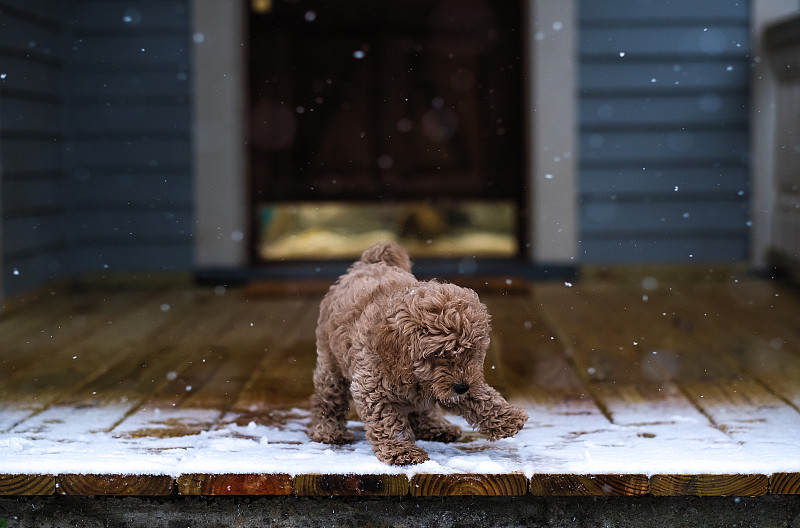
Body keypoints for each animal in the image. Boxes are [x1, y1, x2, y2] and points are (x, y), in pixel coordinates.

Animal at [310, 241, 528, 464]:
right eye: (438, 355)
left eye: (471, 352)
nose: (461, 387)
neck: (415, 376)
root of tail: (368, 264)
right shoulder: (372, 387)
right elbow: (387, 419)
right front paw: (401, 450)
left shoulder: (461, 379)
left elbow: (478, 395)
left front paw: (507, 418)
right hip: (330, 363)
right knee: (329, 399)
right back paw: (329, 431)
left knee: (423, 410)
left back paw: (436, 427)